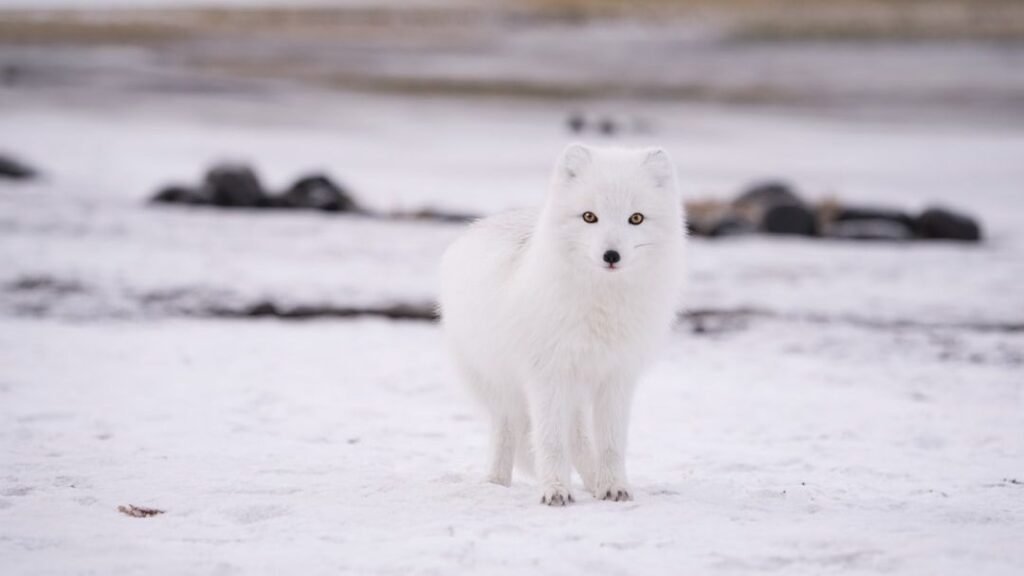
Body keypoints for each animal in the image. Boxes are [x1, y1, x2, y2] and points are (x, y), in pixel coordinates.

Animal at [439, 143, 687, 506]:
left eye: (636, 218)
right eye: (589, 216)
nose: (611, 255)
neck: (600, 306)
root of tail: (480, 225)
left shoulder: (617, 377)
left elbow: (611, 443)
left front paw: (614, 486)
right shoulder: (547, 375)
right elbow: (551, 442)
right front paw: (555, 490)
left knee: (580, 439)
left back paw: (594, 482)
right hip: (501, 386)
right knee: (507, 430)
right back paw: (496, 482)